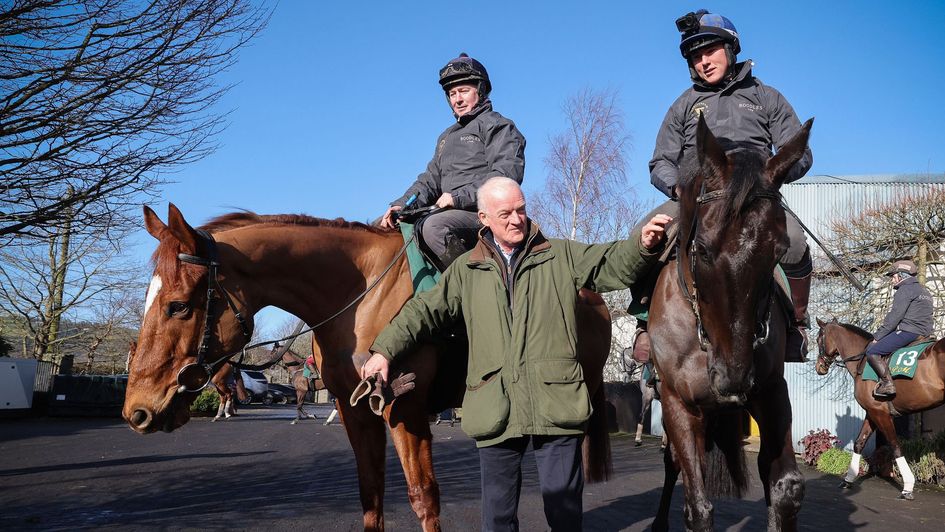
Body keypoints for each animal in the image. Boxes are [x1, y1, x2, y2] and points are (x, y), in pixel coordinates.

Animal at [120, 204, 612, 532]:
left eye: (178, 305)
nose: (136, 410)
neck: (360, 298)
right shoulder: (356, 410)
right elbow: (370, 494)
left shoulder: (404, 411)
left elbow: (423, 497)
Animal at [648, 117, 812, 532]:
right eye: (703, 249)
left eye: (778, 251)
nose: (732, 377)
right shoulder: (678, 404)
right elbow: (697, 505)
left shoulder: (771, 391)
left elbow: (786, 487)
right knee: (673, 466)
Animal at [812, 318, 944, 500]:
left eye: (819, 339)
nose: (819, 367)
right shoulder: (872, 412)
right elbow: (859, 443)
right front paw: (848, 479)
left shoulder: (880, 413)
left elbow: (895, 445)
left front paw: (908, 486)